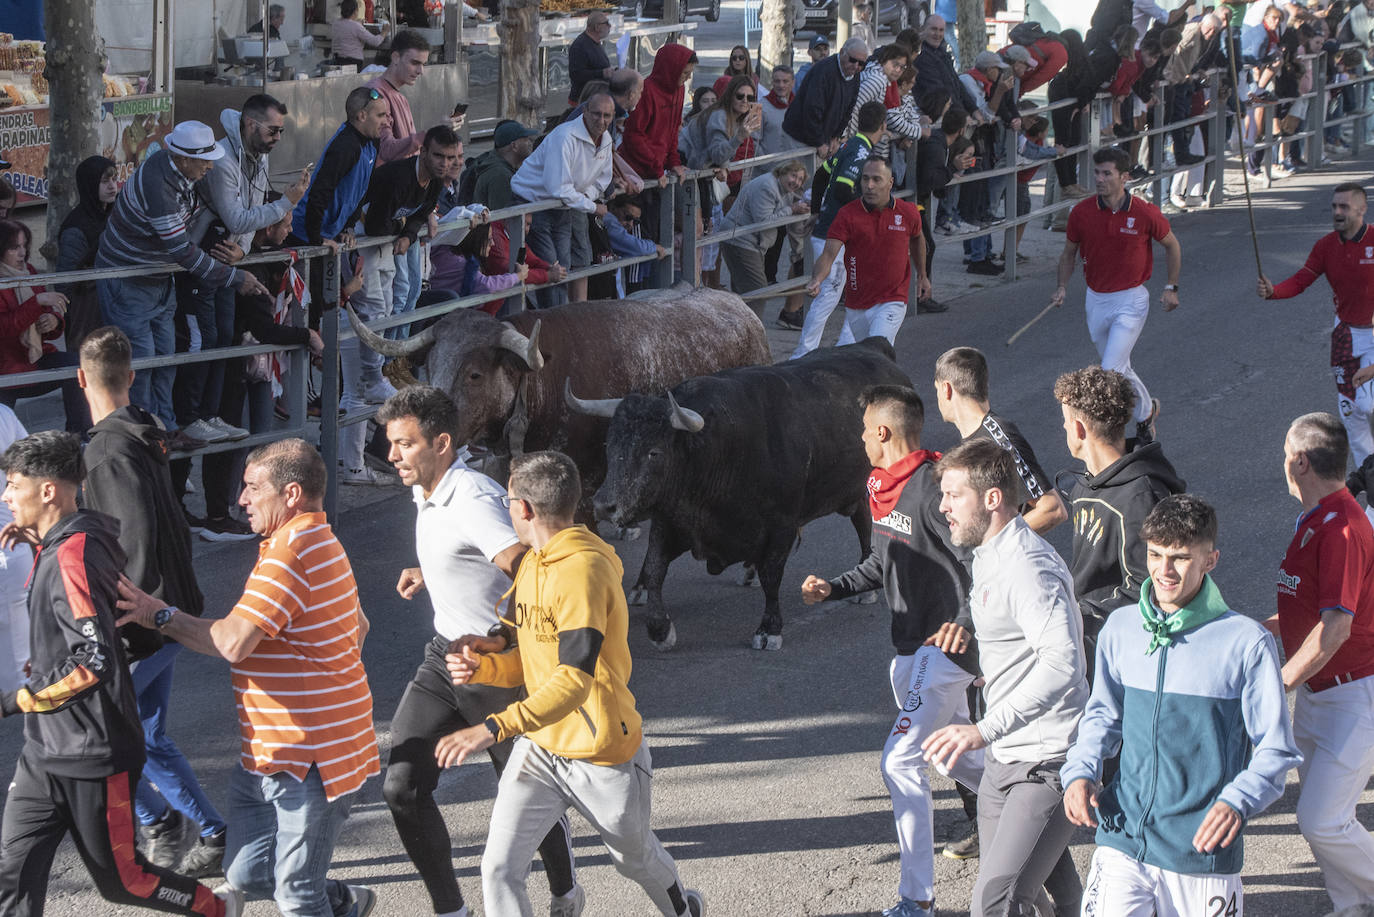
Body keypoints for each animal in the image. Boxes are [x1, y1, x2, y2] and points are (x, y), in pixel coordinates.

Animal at [568, 339, 912, 651]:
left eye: (654, 452)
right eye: (610, 444)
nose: (604, 506)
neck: (717, 449)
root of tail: (875, 347)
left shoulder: (782, 525)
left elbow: (772, 574)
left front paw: (769, 629)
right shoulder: (672, 521)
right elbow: (654, 568)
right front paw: (659, 629)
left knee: (864, 525)